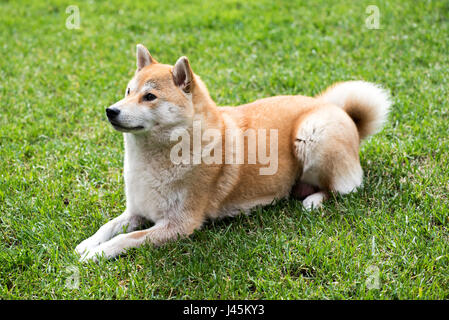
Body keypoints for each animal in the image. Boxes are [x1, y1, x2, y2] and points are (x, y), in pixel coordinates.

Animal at [75, 43, 390, 262]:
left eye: (149, 96)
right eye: (128, 91)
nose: (110, 110)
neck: (155, 159)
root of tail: (342, 113)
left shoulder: (179, 224)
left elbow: (126, 239)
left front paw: (97, 254)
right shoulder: (136, 211)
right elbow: (108, 227)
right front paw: (87, 244)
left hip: (312, 133)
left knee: (342, 189)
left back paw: (313, 200)